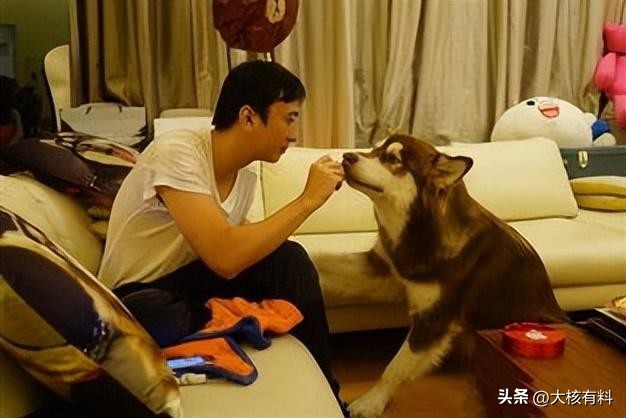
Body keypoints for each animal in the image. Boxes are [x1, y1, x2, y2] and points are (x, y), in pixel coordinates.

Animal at [312, 134, 565, 418]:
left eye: (393, 159)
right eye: (375, 149)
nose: (346, 156)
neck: (422, 229)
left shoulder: (433, 319)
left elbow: (395, 367)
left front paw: (372, 402)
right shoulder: (382, 270)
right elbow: (322, 260)